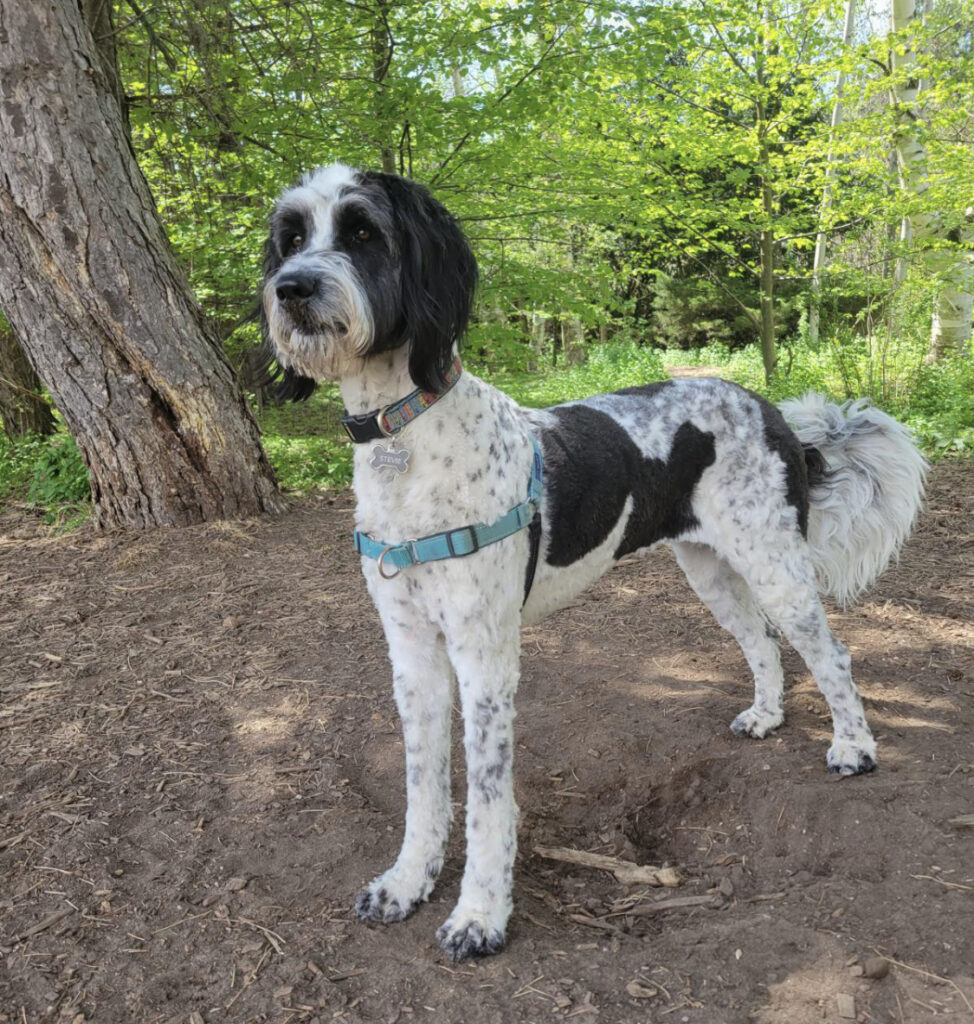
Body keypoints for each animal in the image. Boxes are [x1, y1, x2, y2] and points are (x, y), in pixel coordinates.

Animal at [261, 163, 929, 962]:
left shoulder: (486, 656)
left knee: (831, 653)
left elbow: (489, 797)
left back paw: (854, 748)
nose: (290, 289)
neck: (408, 436)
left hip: (776, 566)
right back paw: (767, 717)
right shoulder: (412, 648)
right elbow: (424, 783)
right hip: (710, 568)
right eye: (291, 237)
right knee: (763, 645)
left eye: (362, 232)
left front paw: (480, 915)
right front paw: (407, 881)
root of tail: (770, 412)